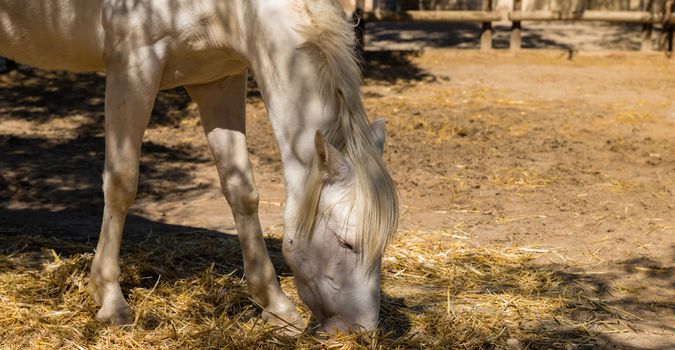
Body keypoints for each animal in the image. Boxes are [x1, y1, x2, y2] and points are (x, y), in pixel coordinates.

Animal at [0, 0, 396, 334]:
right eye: (346, 241)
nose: (360, 329)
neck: (232, 10)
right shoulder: (133, 67)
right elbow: (122, 183)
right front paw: (110, 299)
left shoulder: (217, 81)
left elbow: (241, 190)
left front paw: (275, 304)